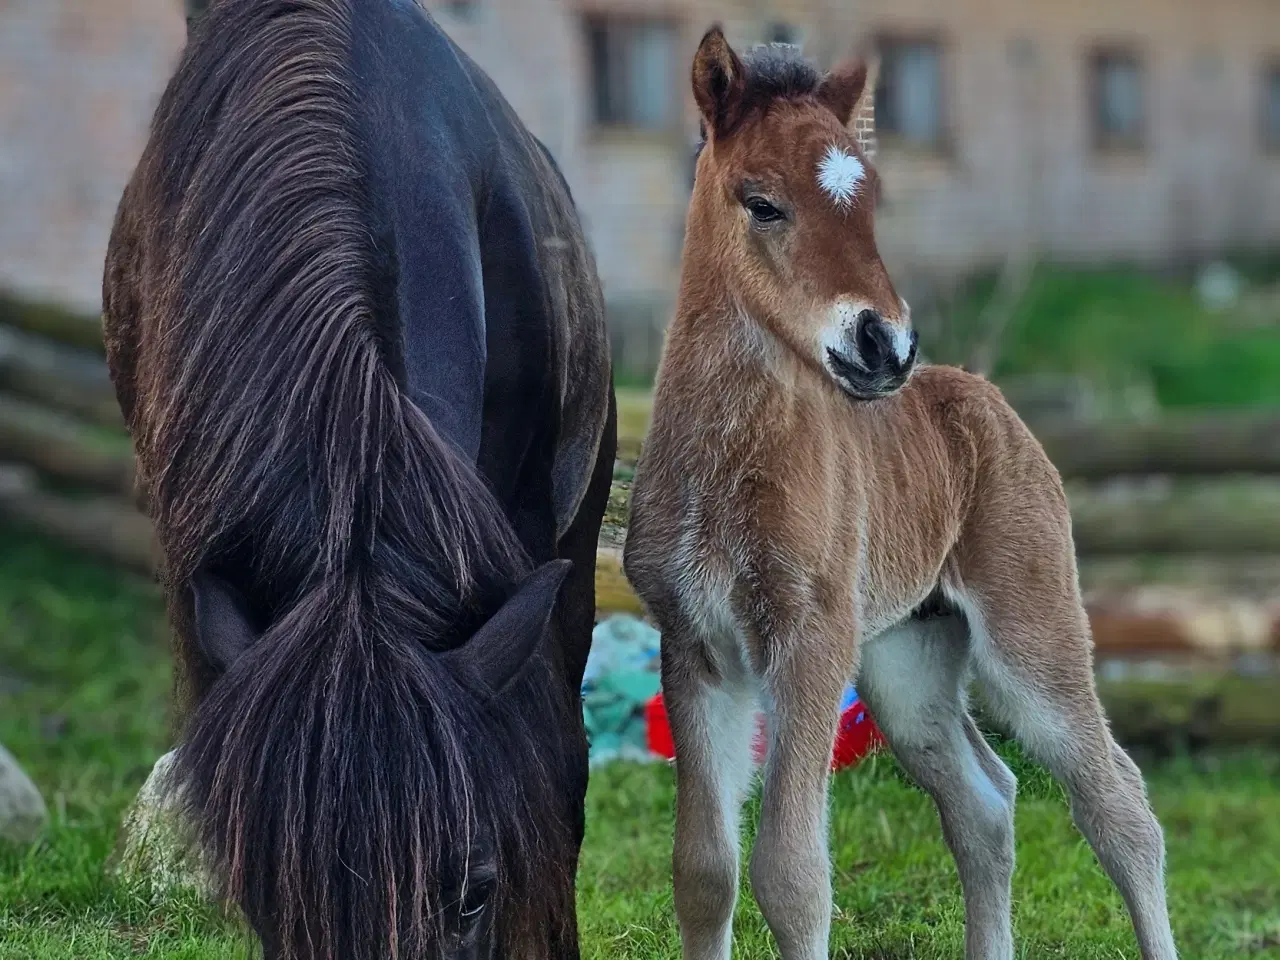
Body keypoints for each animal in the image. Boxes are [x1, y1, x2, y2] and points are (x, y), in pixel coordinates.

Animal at [624, 30, 1172, 960]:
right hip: (905, 666)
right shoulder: (694, 647)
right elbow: (703, 872)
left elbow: (792, 876)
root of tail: (983, 390)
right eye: (762, 204)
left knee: (1118, 802)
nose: (885, 345)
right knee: (985, 802)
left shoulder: (810, 640)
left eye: (872, 200)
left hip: (1028, 633)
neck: (725, 464)